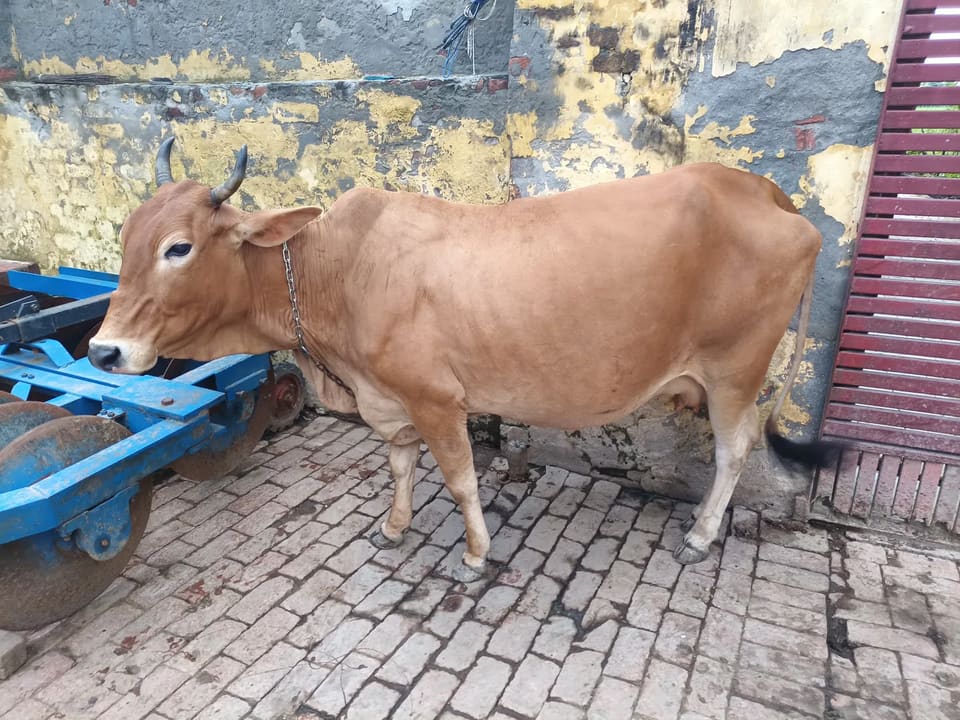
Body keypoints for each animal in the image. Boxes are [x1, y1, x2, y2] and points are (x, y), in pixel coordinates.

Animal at [89, 139, 840, 581]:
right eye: (127, 238)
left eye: (179, 247)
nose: (103, 349)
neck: (338, 271)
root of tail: (757, 188)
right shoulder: (388, 399)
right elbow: (398, 466)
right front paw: (394, 528)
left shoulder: (434, 399)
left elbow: (459, 480)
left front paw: (477, 554)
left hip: (735, 371)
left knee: (735, 448)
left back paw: (703, 534)